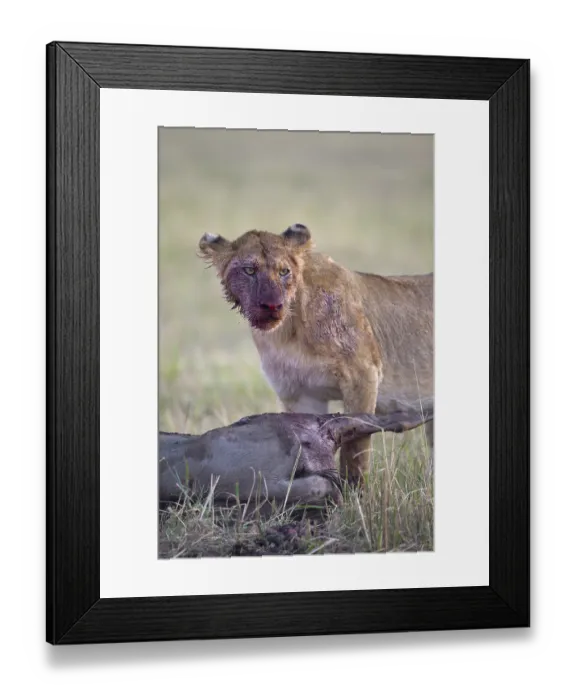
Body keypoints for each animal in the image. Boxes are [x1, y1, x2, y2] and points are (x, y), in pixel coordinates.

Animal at [198, 224, 433, 483]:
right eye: (250, 270)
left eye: (284, 271)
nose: (272, 305)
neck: (286, 334)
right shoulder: (300, 393)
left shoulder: (363, 375)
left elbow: (355, 448)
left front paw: (354, 492)